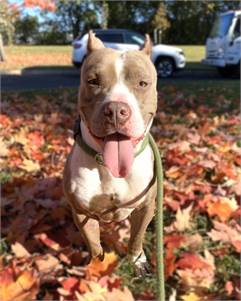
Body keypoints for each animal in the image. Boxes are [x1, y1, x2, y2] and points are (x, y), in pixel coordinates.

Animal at [63, 31, 158, 274]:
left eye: (142, 83)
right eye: (93, 81)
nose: (116, 110)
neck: (109, 168)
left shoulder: (145, 207)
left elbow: (136, 237)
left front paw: (137, 259)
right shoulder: (82, 213)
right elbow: (95, 245)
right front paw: (96, 267)